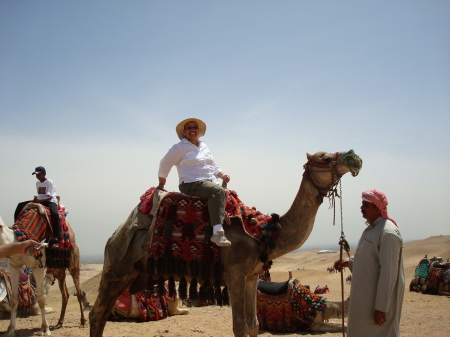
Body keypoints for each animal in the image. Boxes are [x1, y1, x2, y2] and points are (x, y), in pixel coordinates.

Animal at [0, 206, 87, 334]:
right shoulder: (14, 265)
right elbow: (14, 300)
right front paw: (10, 330)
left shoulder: (38, 267)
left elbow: (41, 299)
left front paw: (45, 329)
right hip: (59, 270)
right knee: (65, 294)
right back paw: (59, 322)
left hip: (73, 263)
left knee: (79, 291)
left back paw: (83, 322)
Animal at [89, 150, 360, 336]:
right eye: (325, 157)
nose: (354, 158)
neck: (261, 232)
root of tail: (113, 235)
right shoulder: (235, 273)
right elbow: (239, 326)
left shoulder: (252, 276)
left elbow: (253, 324)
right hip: (116, 268)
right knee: (96, 313)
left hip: (132, 273)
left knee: (103, 314)